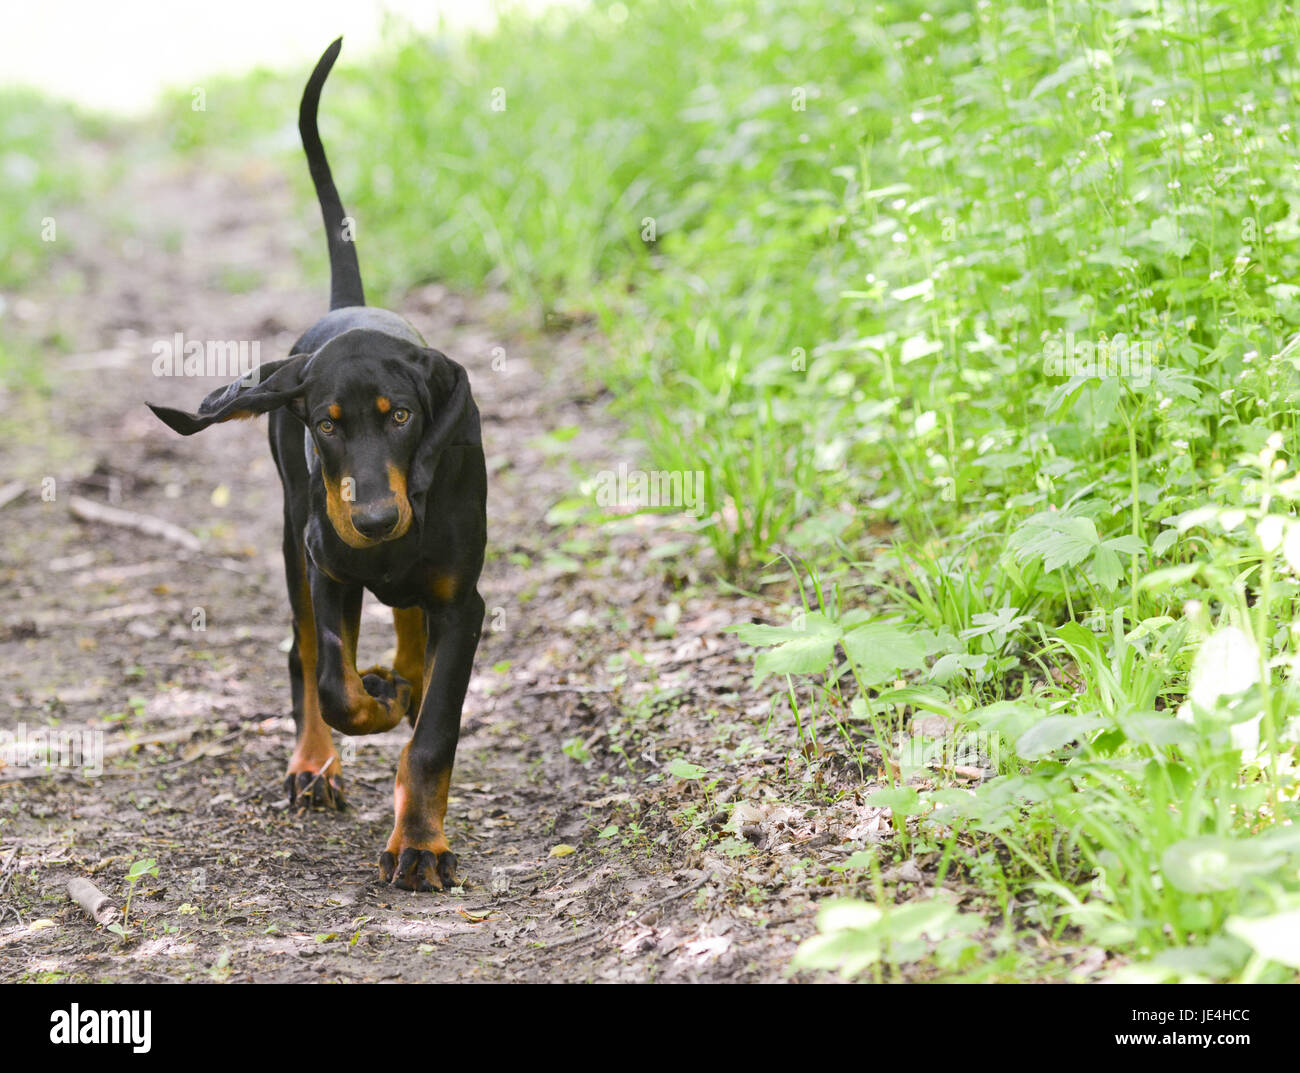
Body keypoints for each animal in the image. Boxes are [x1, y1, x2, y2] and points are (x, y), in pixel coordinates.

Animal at [147, 37, 483, 889]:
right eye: (325, 425)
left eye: (401, 416)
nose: (375, 517)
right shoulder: (327, 563)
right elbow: (334, 682)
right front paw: (375, 704)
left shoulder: (463, 602)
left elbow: (434, 734)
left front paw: (419, 843)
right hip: (295, 535)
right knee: (303, 653)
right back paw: (316, 761)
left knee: (407, 627)